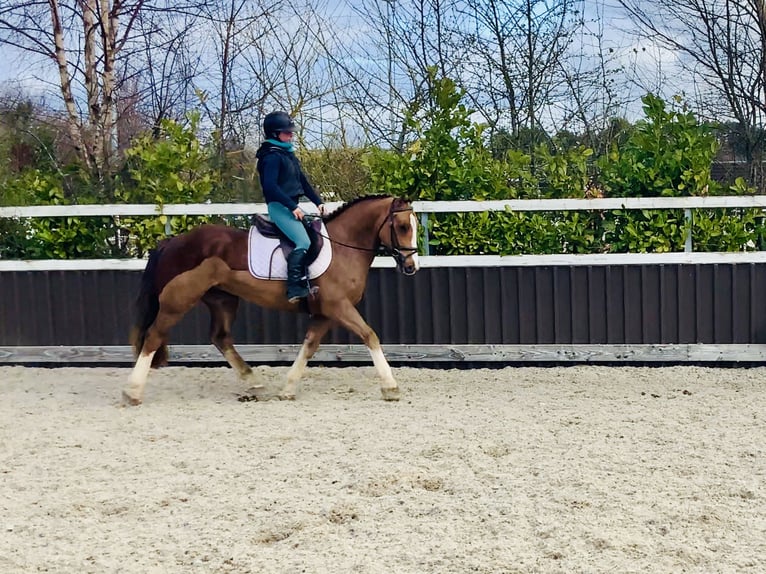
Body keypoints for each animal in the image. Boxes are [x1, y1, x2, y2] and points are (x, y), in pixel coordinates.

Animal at [122, 196, 420, 408]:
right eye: (403, 226)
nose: (411, 266)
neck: (343, 246)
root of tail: (172, 242)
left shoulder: (324, 313)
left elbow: (309, 346)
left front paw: (287, 389)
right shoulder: (339, 307)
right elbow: (370, 335)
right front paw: (390, 387)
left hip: (222, 300)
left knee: (220, 338)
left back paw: (254, 383)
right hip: (179, 300)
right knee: (153, 336)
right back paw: (132, 392)